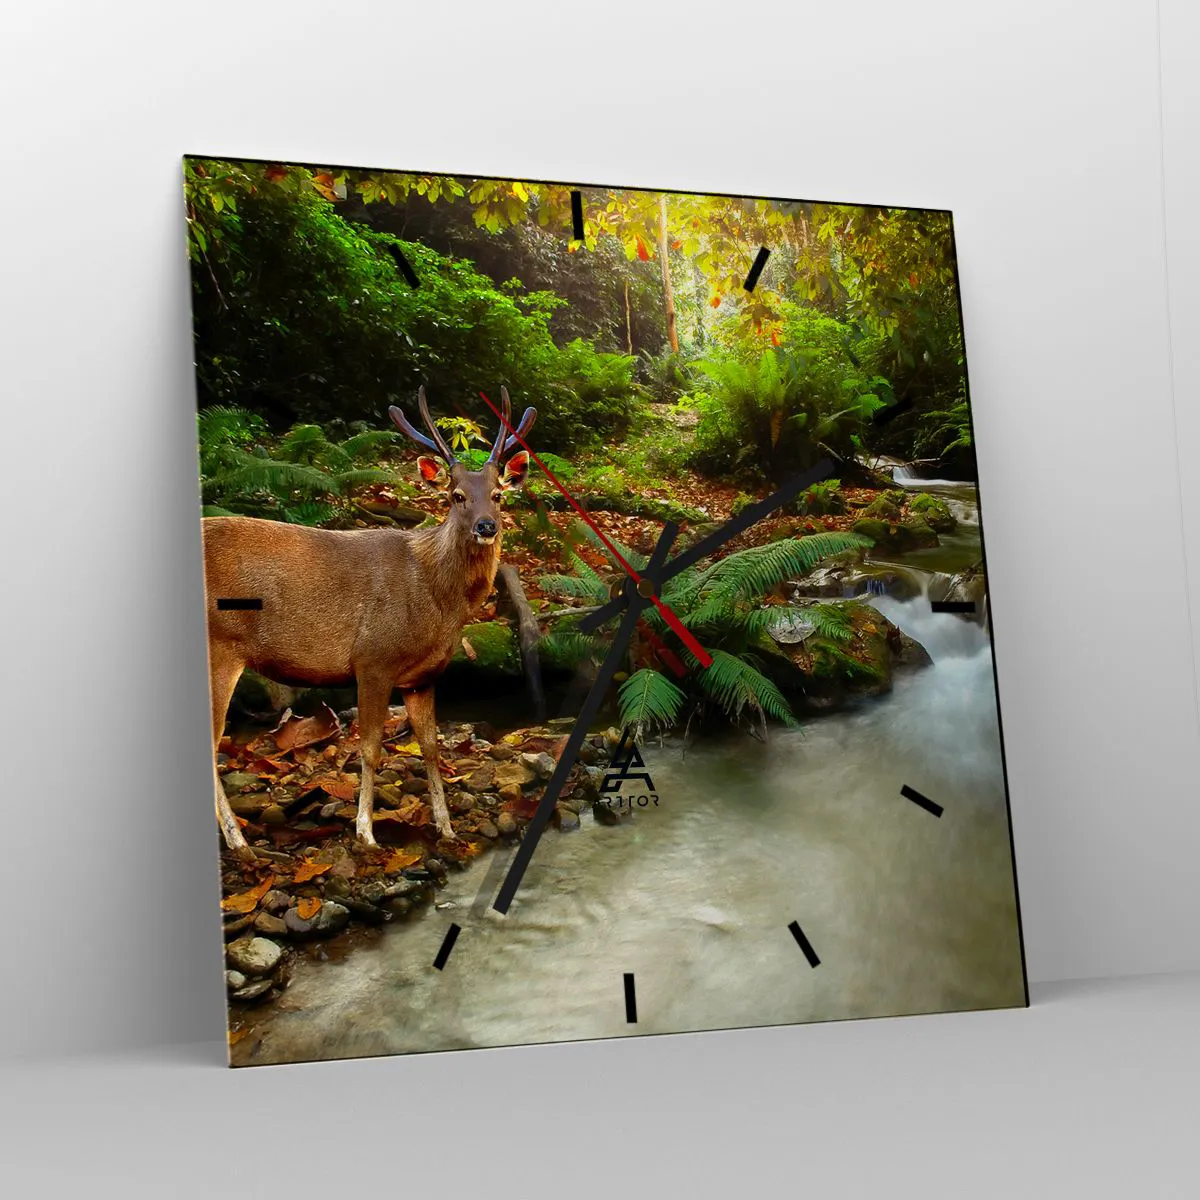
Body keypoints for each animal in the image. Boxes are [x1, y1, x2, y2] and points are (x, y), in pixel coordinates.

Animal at [202, 386, 535, 861]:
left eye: (498, 494)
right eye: (456, 495)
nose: (487, 526)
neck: (437, 602)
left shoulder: (422, 676)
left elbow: (431, 747)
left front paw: (447, 828)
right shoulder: (373, 658)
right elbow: (371, 748)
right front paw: (366, 832)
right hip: (221, 645)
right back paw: (240, 842)